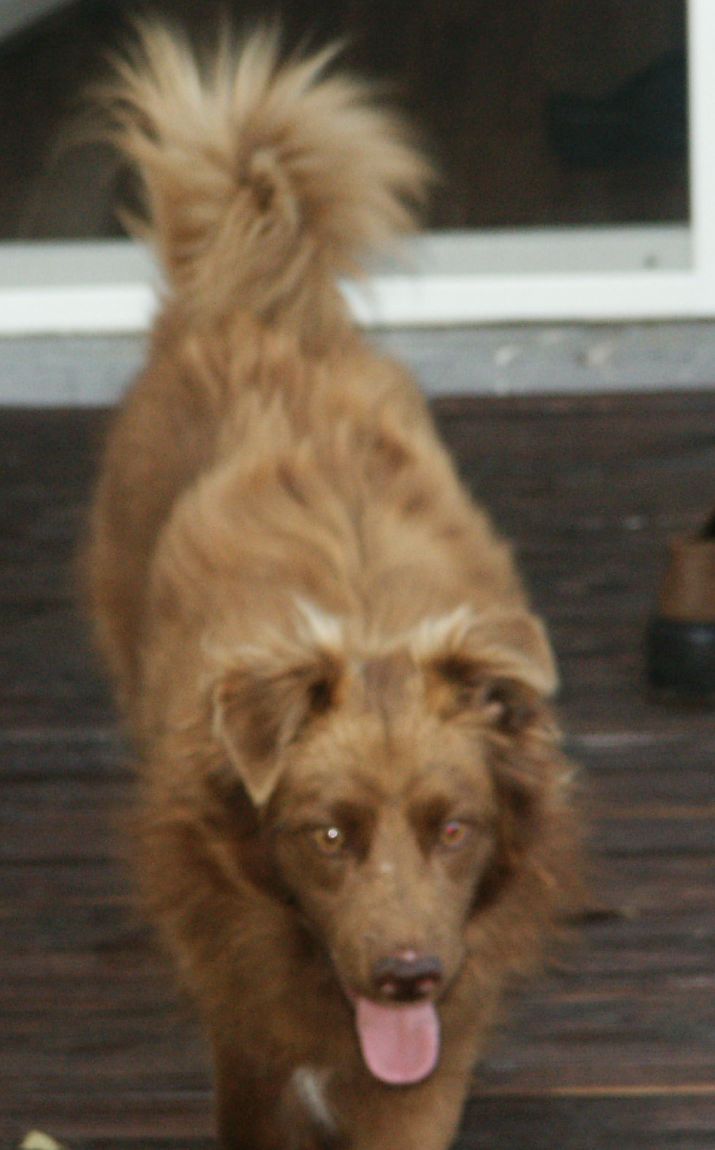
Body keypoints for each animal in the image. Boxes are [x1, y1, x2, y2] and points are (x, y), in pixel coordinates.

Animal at [84, 22, 582, 1150]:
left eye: (456, 829)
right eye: (326, 834)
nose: (408, 976)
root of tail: (252, 304)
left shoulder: (435, 1052)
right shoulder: (247, 1027)